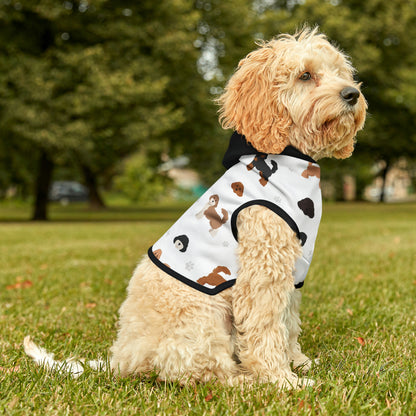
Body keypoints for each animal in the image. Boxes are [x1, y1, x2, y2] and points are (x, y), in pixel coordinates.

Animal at [24, 27, 366, 388]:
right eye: (305, 75)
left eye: (340, 72)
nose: (352, 94)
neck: (288, 156)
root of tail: (122, 359)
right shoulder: (263, 270)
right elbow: (266, 327)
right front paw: (281, 380)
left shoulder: (291, 271)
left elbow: (287, 323)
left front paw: (298, 363)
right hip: (202, 317)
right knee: (201, 371)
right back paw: (244, 380)